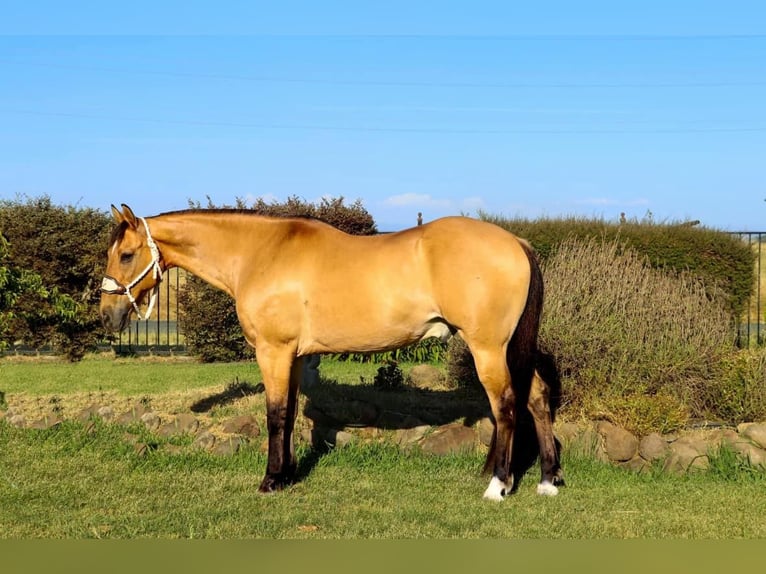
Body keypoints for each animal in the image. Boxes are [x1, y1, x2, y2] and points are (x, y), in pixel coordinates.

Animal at [99, 204, 563, 500]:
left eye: (126, 255)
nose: (107, 315)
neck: (259, 253)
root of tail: (516, 241)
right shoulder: (294, 356)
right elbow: (288, 416)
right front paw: (286, 475)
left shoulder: (273, 351)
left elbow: (275, 414)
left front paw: (269, 482)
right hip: (509, 348)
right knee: (537, 398)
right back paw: (547, 479)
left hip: (487, 347)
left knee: (506, 405)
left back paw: (498, 485)